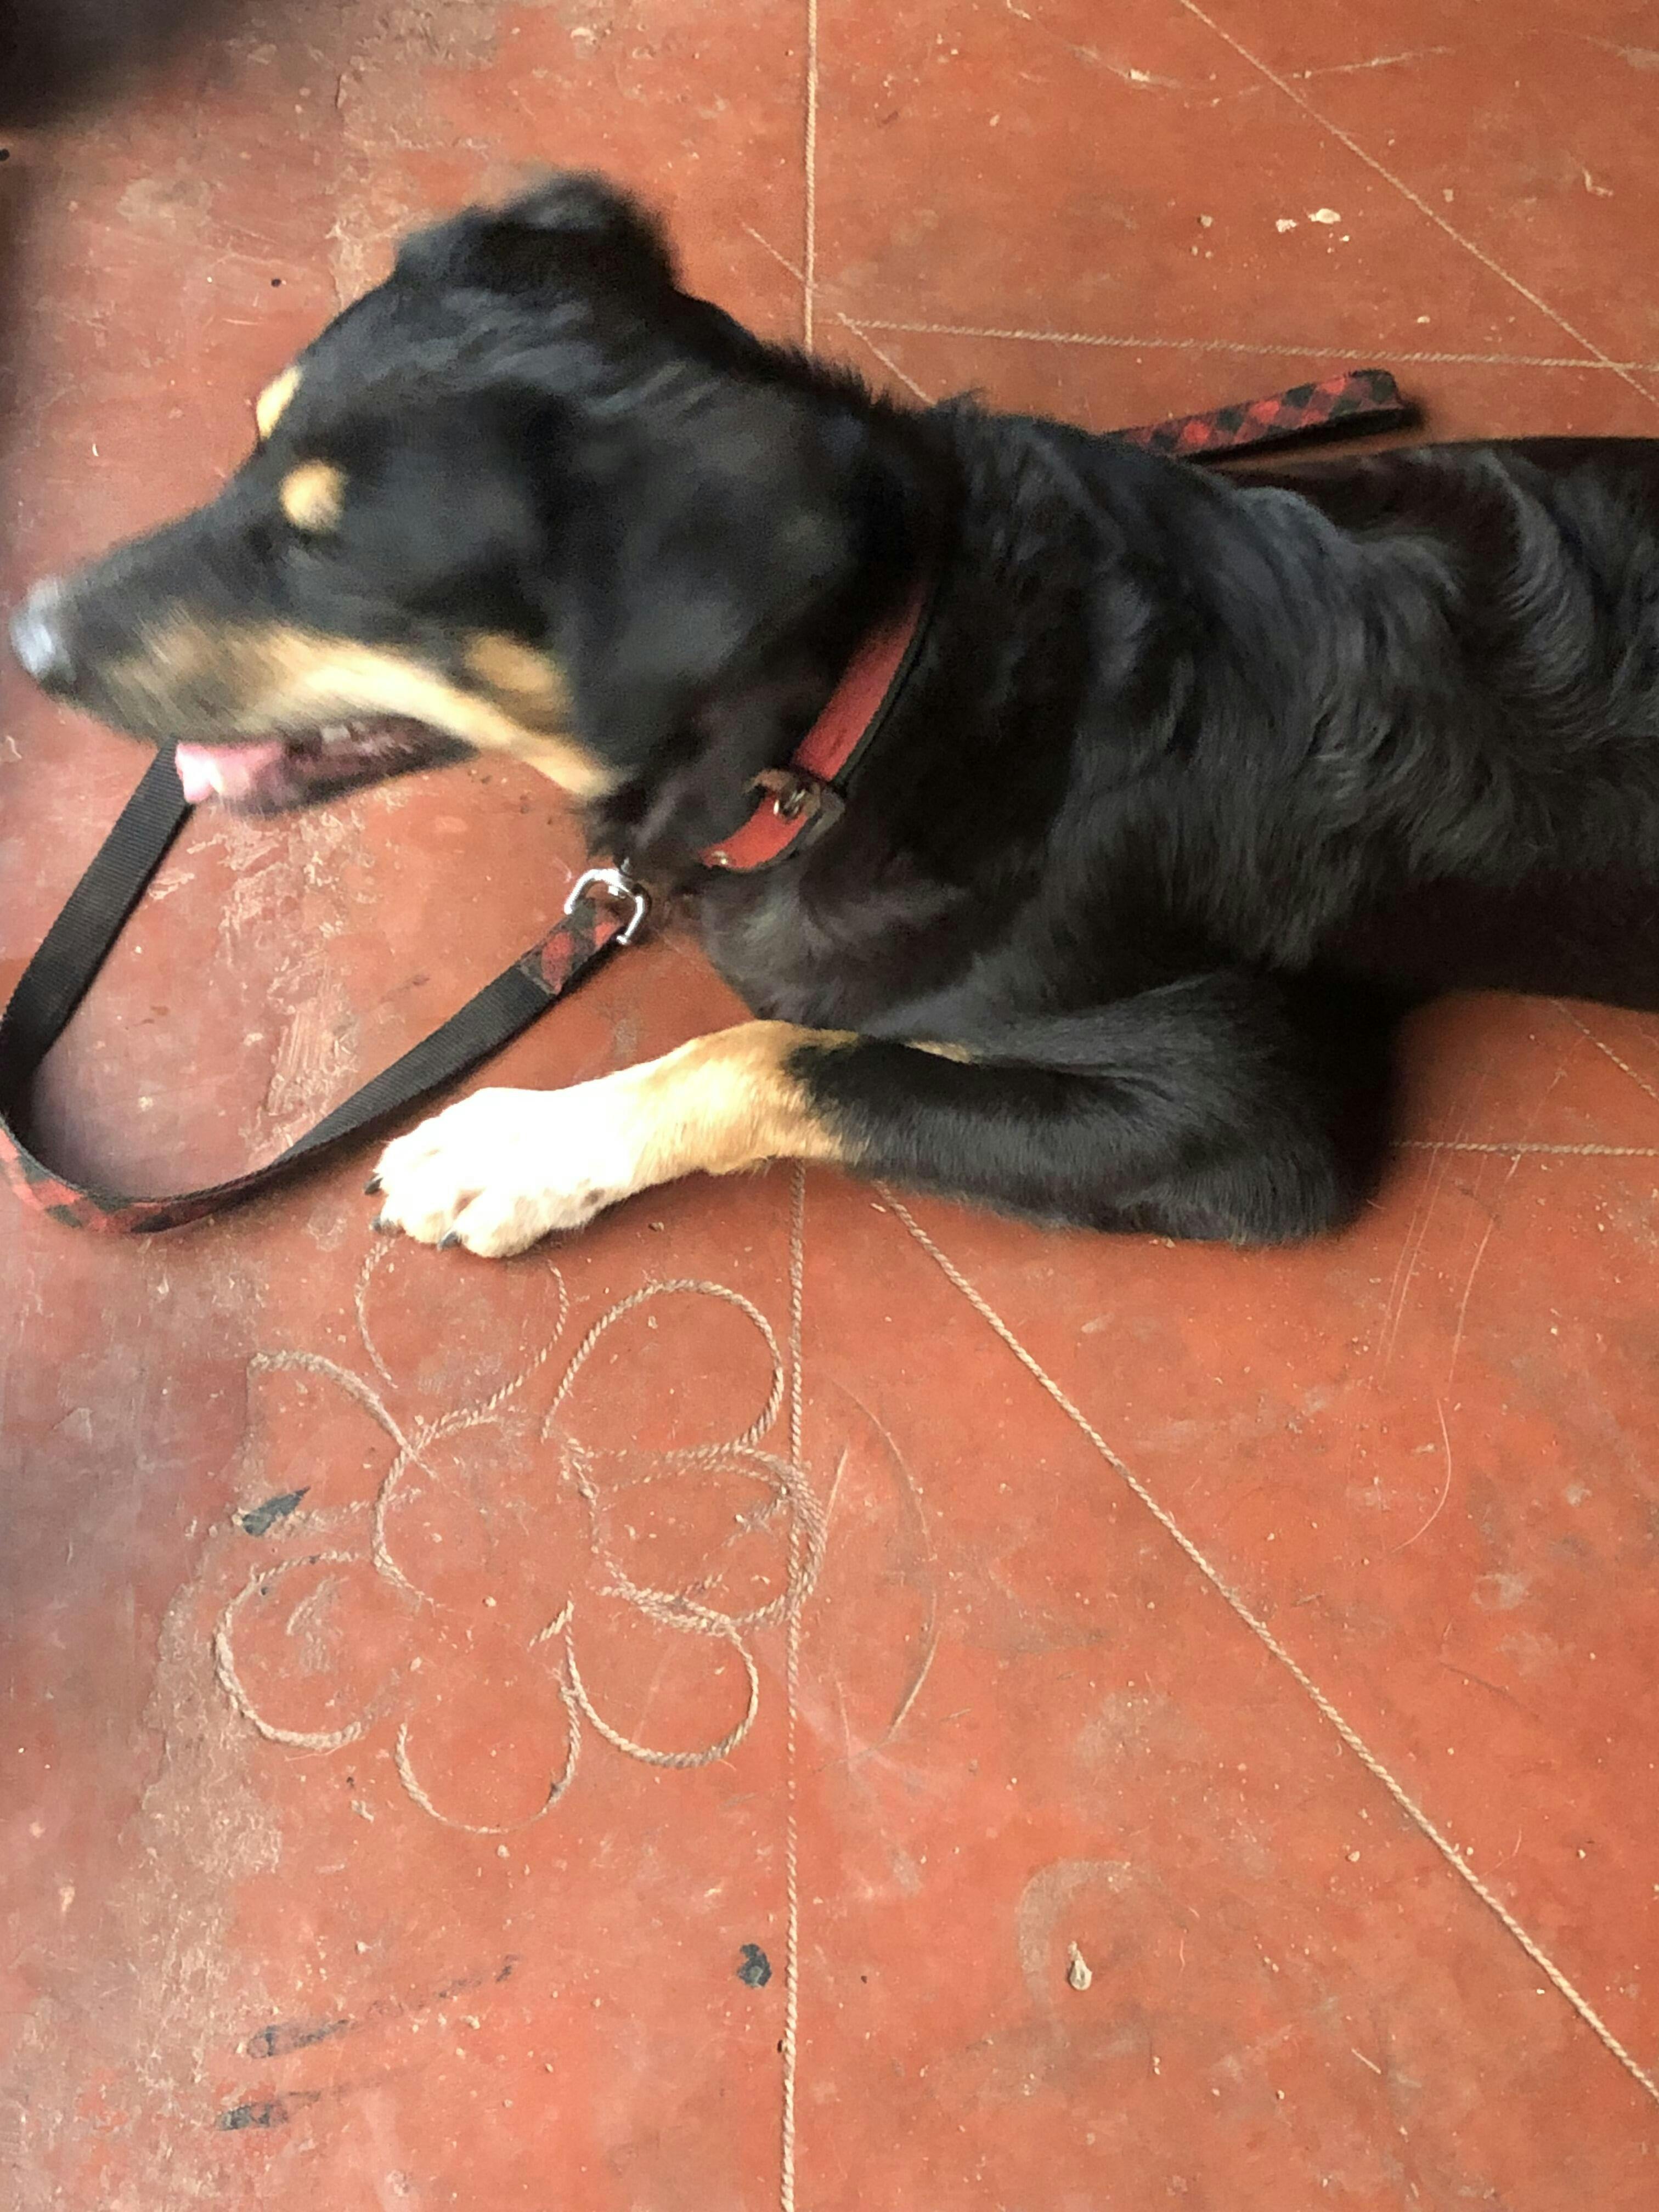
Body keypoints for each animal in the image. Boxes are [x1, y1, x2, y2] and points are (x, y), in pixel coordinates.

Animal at [13, 171, 1659, 1257]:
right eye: (249, 453)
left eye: (330, 555)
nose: (30, 639)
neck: (874, 692)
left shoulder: (1257, 1108)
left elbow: (779, 1053)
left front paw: (528, 1148)